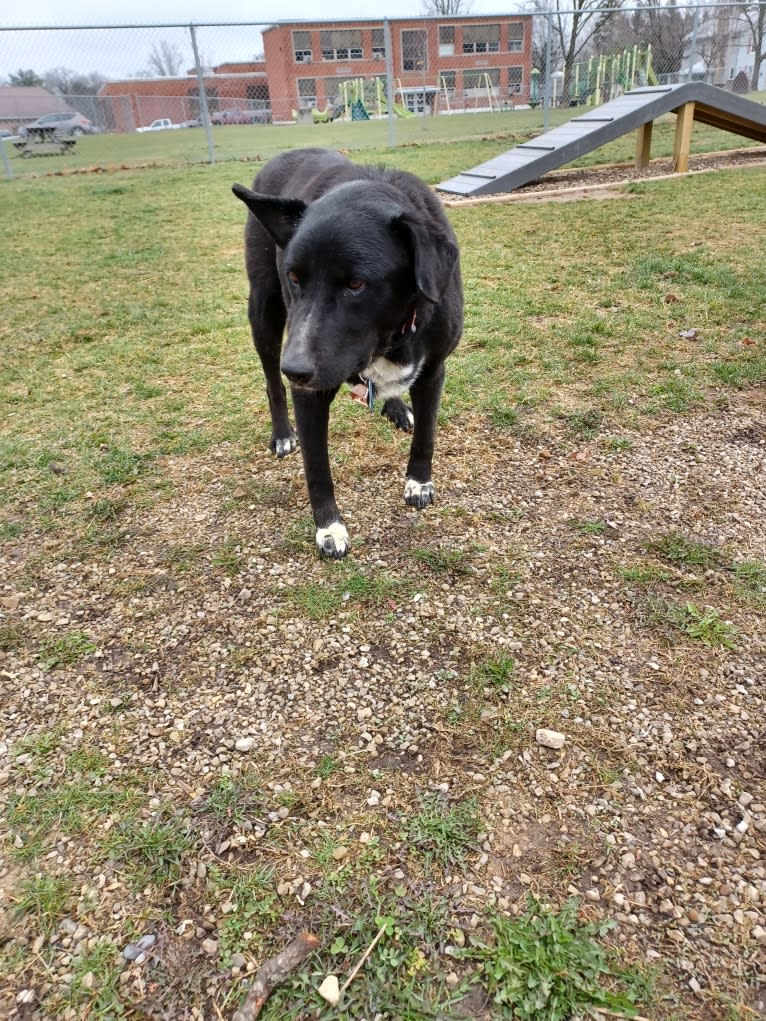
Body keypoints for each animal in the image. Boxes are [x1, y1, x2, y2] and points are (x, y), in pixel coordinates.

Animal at [232, 147, 461, 559]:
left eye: (356, 284)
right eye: (294, 277)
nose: (295, 369)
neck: (389, 335)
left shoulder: (434, 367)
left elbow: (427, 434)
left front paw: (419, 482)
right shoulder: (309, 388)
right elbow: (317, 468)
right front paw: (329, 528)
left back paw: (397, 407)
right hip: (264, 309)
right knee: (271, 381)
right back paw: (282, 432)